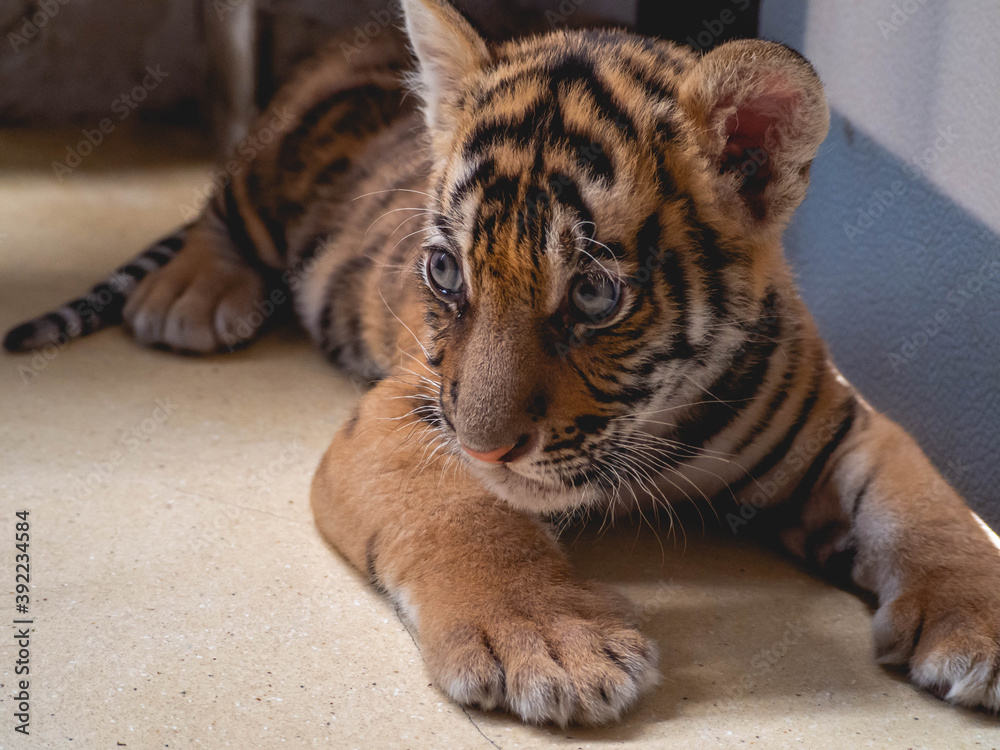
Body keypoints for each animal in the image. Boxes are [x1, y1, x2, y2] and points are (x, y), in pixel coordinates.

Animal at [6, 0, 1000, 727]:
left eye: (595, 294)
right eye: (447, 271)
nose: (487, 448)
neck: (656, 426)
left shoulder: (845, 426)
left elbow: (928, 510)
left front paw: (980, 624)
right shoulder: (405, 416)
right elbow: (469, 517)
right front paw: (553, 646)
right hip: (269, 173)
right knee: (215, 216)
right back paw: (189, 300)